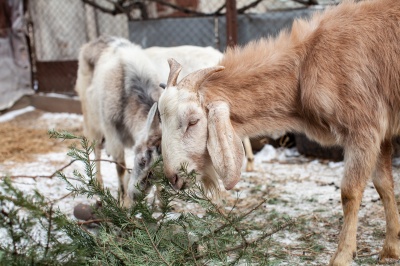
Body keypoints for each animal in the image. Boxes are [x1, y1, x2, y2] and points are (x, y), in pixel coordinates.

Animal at [158, 1, 400, 264]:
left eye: (193, 121)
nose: (173, 177)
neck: (305, 64)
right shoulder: (382, 135)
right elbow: (384, 185)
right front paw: (391, 249)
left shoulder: (364, 128)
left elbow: (350, 192)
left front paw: (342, 255)